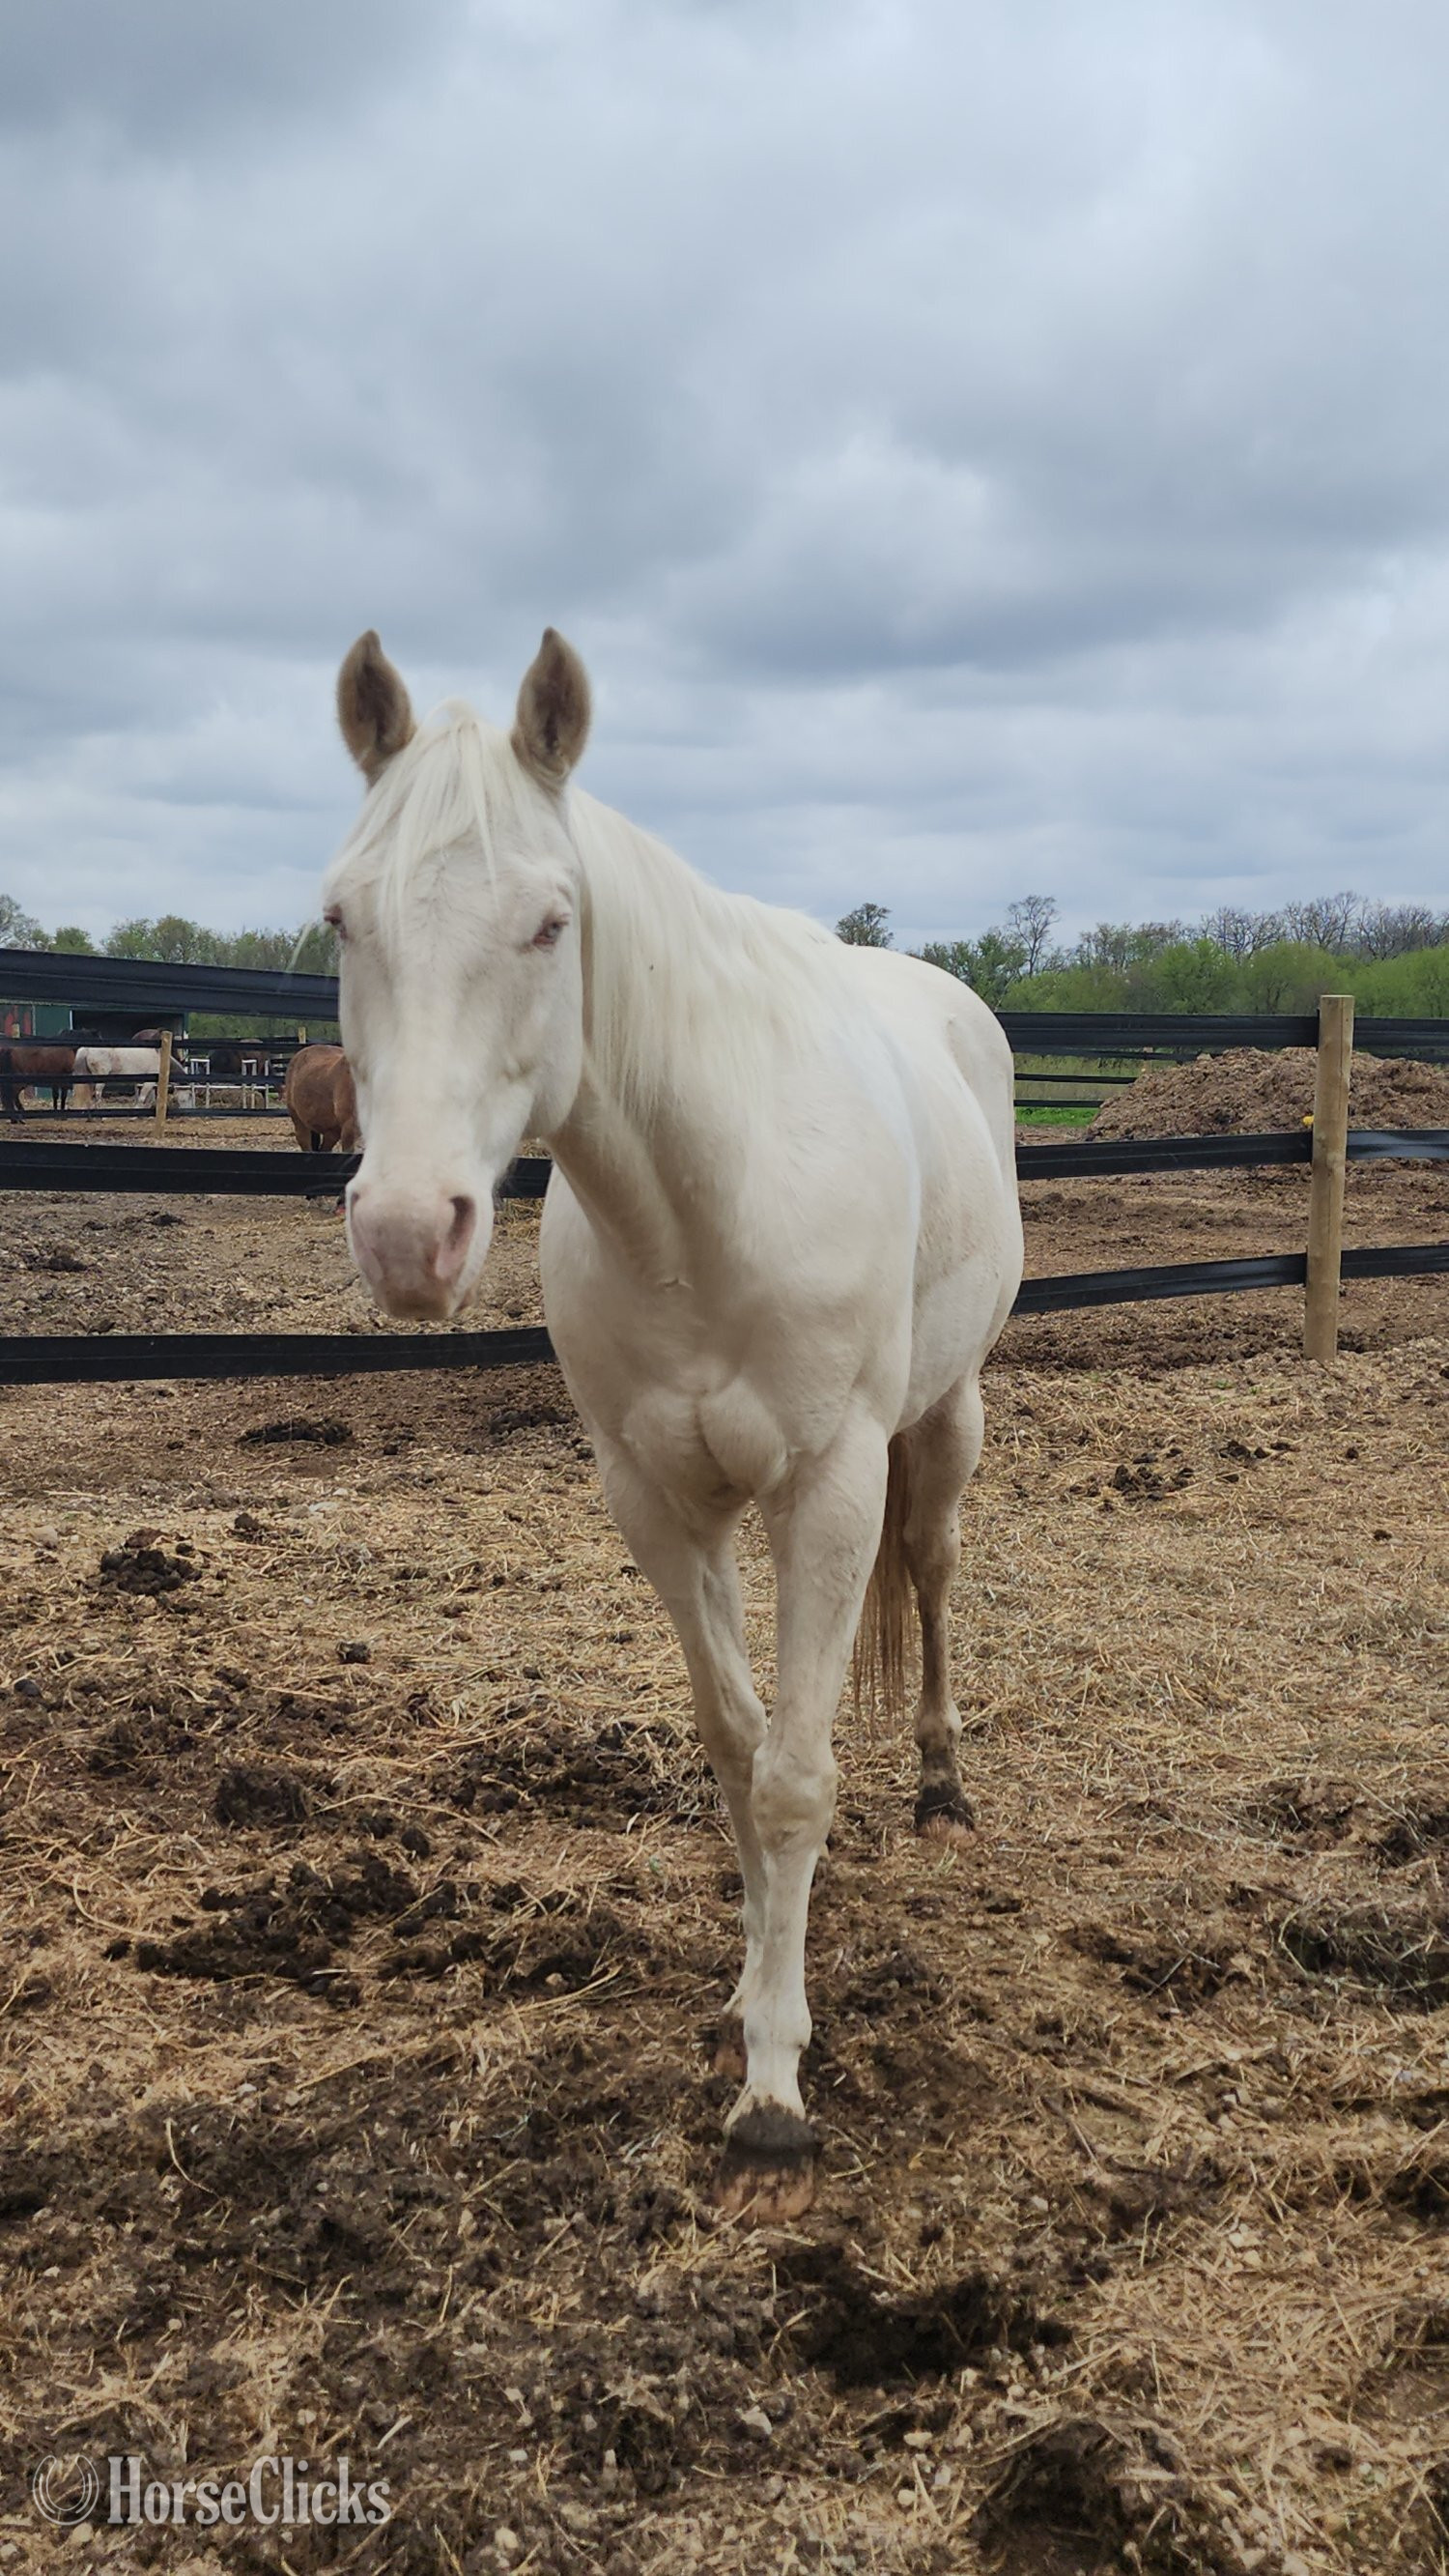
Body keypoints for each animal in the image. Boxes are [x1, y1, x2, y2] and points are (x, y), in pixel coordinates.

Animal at [322, 628, 1024, 2220]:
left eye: (549, 923)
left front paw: (775, 2090)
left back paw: (943, 1782)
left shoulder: (829, 1487)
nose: (404, 1236)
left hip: (942, 1422)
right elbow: (735, 1746)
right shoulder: (652, 1496)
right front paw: (747, 1997)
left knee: (935, 1575)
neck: (708, 1200)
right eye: (340, 918)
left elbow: (798, 1778)